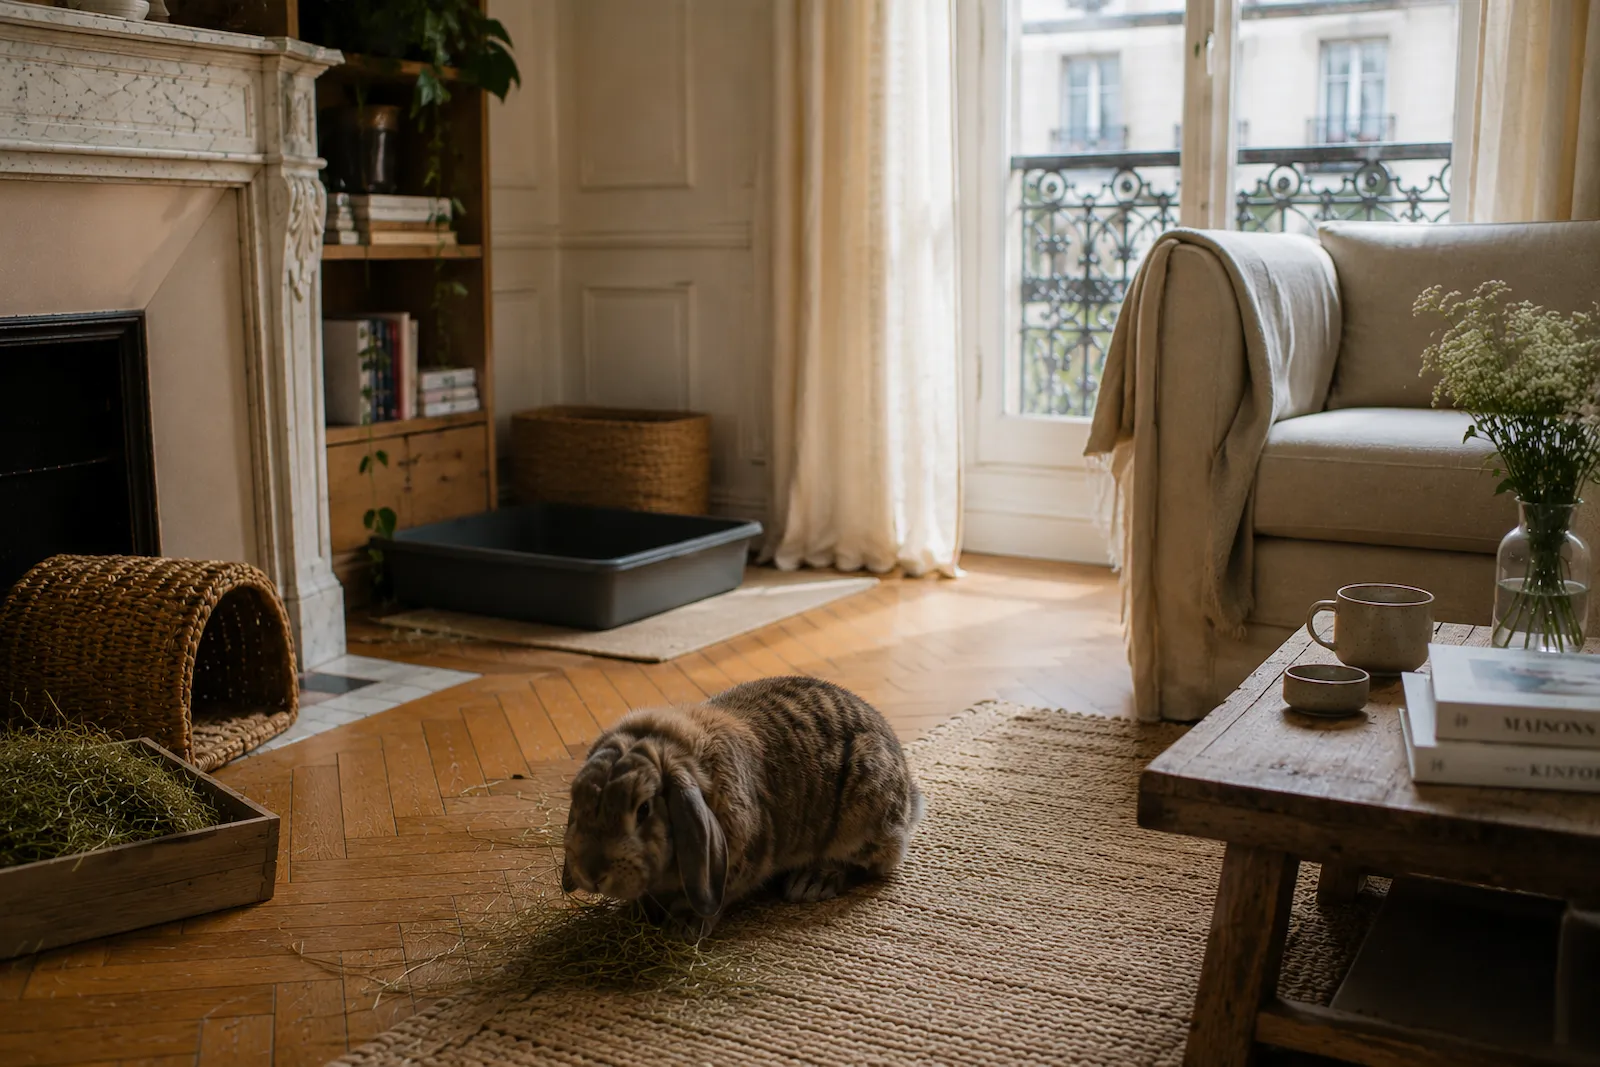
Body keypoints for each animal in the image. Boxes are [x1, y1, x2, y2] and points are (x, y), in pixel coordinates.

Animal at [561, 675, 924, 936]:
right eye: (579, 801)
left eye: (643, 810)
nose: (592, 874)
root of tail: (909, 796)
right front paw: (636, 913)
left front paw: (683, 926)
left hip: (862, 817)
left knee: (867, 862)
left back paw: (810, 883)